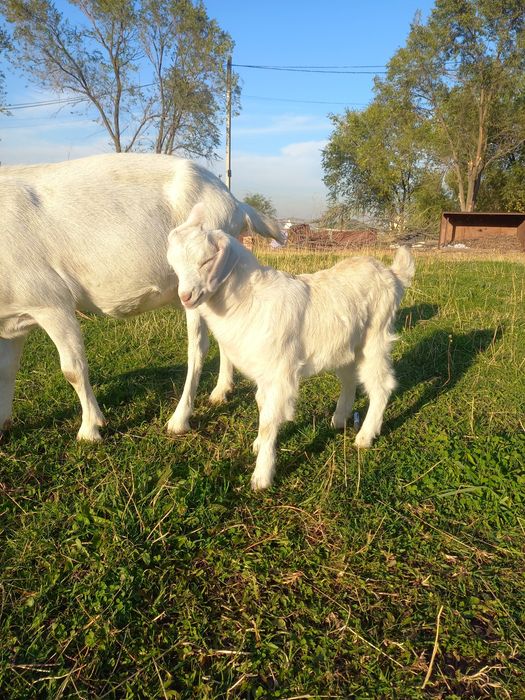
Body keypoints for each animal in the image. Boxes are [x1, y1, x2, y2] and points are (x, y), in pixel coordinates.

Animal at [0, 153, 284, 440]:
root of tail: (235, 202)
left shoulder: (51, 302)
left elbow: (72, 369)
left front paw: (91, 428)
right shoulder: (14, 316)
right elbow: (7, 369)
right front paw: (3, 424)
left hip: (197, 284)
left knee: (198, 348)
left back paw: (179, 419)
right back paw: (220, 392)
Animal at [167, 203, 415, 490]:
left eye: (207, 261)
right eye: (174, 265)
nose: (186, 297)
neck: (249, 299)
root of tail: (393, 275)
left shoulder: (280, 371)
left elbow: (269, 419)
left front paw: (262, 477)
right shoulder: (265, 372)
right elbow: (262, 406)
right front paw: (258, 445)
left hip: (375, 339)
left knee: (381, 386)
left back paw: (365, 436)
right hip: (345, 345)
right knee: (349, 378)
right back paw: (339, 419)